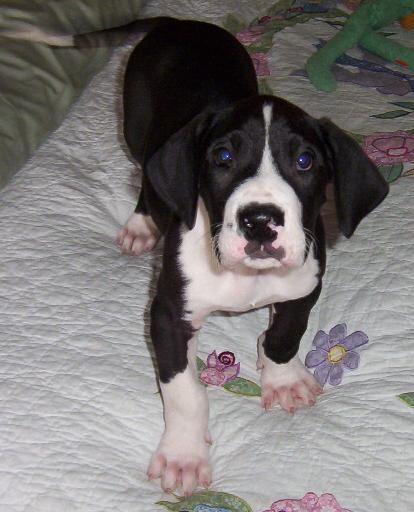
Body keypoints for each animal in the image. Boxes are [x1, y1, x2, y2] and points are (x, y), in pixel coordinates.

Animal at [4, 17, 389, 496]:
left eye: (305, 161)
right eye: (222, 156)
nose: (259, 221)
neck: (245, 276)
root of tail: (178, 22)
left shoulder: (304, 289)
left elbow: (285, 336)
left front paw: (282, 377)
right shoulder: (167, 317)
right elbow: (185, 392)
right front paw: (183, 456)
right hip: (137, 127)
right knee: (145, 174)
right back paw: (141, 224)